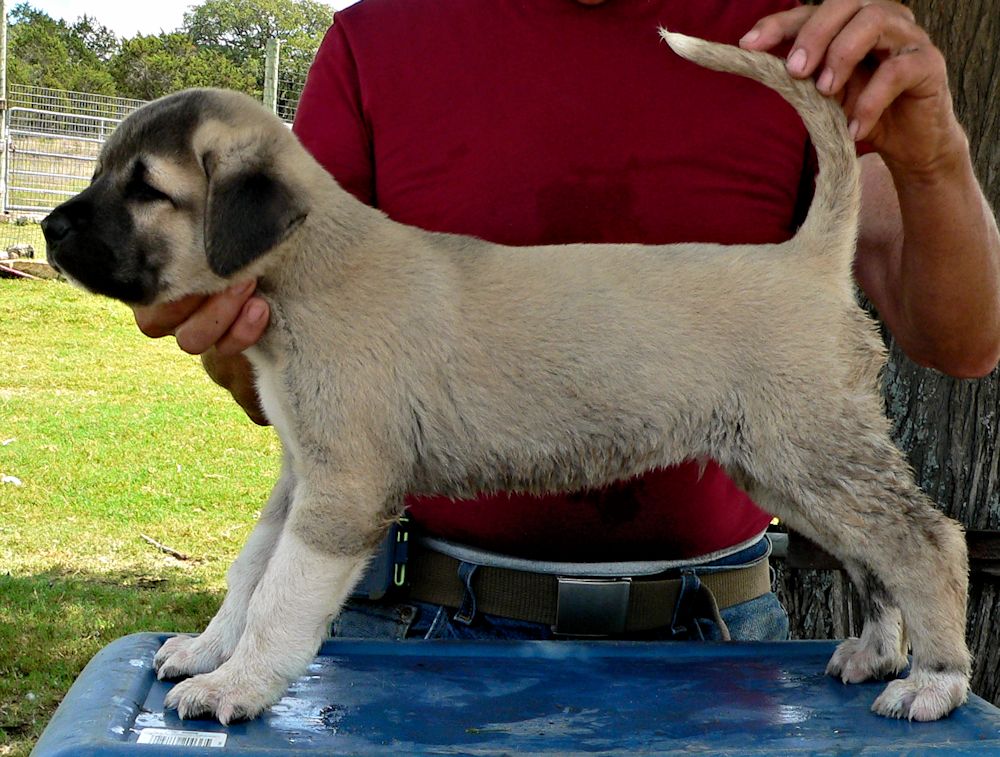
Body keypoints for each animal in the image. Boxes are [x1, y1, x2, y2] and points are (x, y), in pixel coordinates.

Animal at [45, 32, 968, 724]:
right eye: (102, 171)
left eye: (146, 189)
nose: (51, 230)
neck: (310, 267)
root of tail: (810, 258)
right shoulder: (301, 473)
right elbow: (249, 572)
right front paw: (208, 649)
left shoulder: (344, 489)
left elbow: (282, 595)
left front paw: (237, 684)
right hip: (793, 467)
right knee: (875, 555)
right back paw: (876, 651)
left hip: (814, 453)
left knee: (926, 541)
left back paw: (933, 679)